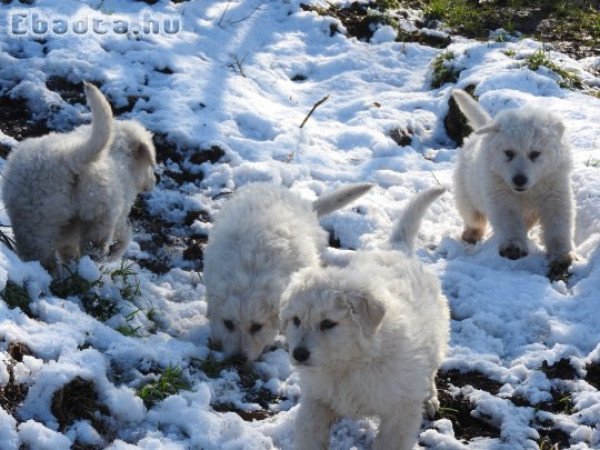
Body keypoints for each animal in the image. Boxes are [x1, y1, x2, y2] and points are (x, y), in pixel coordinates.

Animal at [1, 82, 157, 268]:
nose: (153, 181)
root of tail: (68, 158)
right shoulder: (120, 210)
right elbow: (124, 236)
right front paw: (115, 253)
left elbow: (67, 249)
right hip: (100, 216)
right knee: (94, 249)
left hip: (34, 224)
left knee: (43, 256)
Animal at [282, 187, 450, 450]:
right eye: (296, 321)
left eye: (328, 324)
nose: (298, 354)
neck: (348, 364)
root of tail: (397, 248)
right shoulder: (317, 398)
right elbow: (310, 432)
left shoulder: (400, 410)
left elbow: (389, 442)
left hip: (437, 334)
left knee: (431, 370)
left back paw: (430, 399)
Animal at [452, 89, 576, 276]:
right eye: (508, 153)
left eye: (535, 154)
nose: (519, 179)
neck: (528, 191)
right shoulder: (500, 193)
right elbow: (508, 220)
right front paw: (513, 247)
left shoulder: (555, 189)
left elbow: (558, 223)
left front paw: (561, 256)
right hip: (465, 187)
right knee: (472, 213)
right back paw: (472, 233)